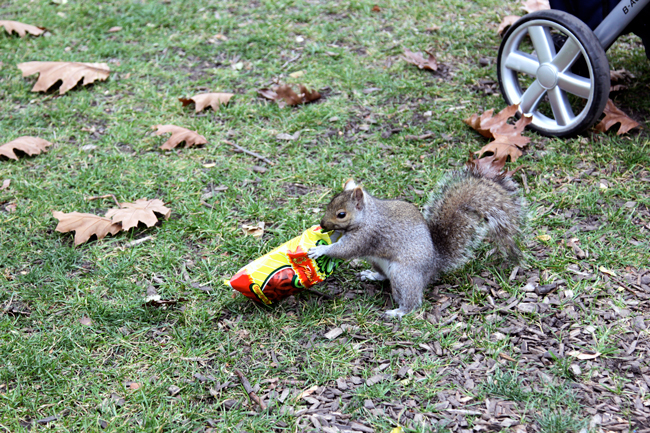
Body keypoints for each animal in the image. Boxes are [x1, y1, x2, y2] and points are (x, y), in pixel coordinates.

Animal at [306, 162, 524, 318]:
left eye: (341, 214)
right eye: (330, 203)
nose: (323, 223)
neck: (368, 216)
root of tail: (434, 264)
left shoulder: (367, 235)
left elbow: (344, 250)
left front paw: (319, 250)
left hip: (404, 275)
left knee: (412, 301)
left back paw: (398, 312)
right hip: (378, 262)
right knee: (383, 276)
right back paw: (371, 275)